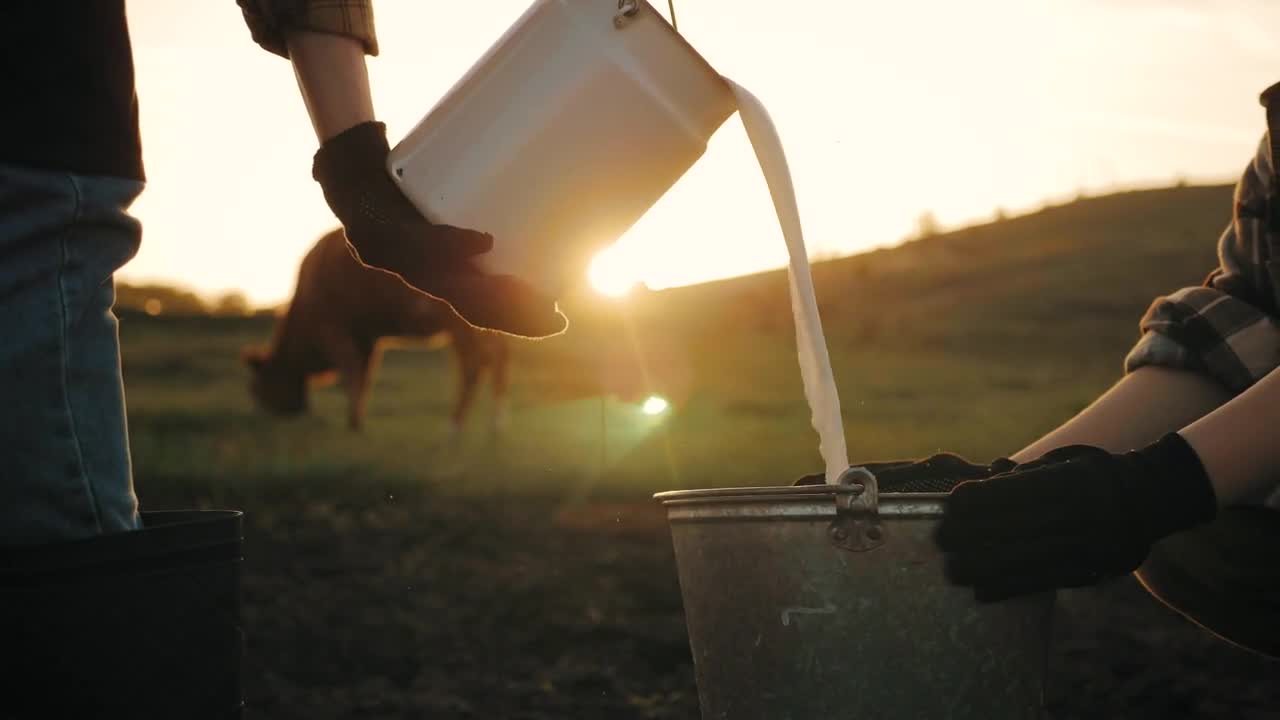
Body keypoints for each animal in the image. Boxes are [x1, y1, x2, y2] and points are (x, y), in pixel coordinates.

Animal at [241, 229, 506, 430]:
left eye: (258, 386)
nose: (262, 414)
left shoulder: (335, 330)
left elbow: (351, 372)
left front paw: (353, 422)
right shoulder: (367, 338)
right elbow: (365, 373)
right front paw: (357, 417)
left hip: (462, 328)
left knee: (473, 366)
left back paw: (455, 427)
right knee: (495, 365)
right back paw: (494, 426)